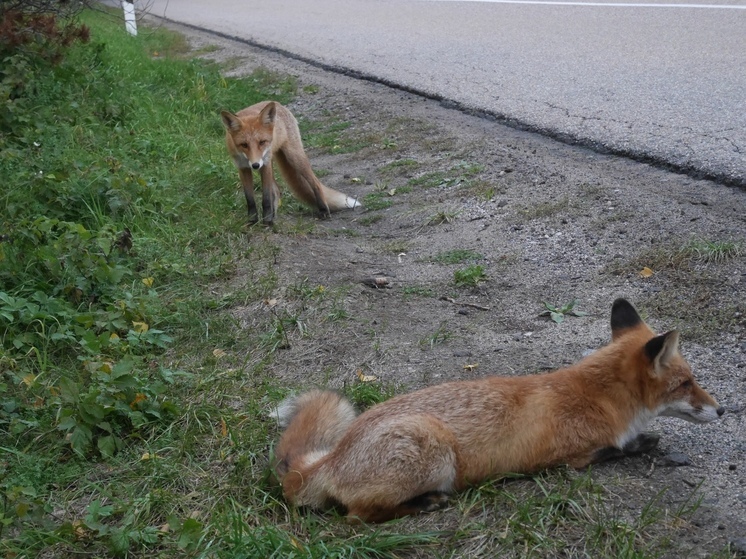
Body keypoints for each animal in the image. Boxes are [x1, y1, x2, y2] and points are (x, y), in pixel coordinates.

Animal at [219, 100, 358, 225]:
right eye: (244, 145)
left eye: (262, 142)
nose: (255, 165)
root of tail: (277, 103)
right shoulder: (243, 168)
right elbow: (250, 200)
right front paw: (252, 221)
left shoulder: (265, 164)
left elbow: (266, 199)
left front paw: (267, 222)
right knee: (277, 191)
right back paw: (273, 216)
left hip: (294, 158)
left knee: (315, 183)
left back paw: (323, 209)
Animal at [274, 300, 720, 524]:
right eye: (687, 383)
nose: (724, 408)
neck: (597, 395)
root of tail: (330, 458)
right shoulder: (571, 455)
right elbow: (617, 448)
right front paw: (643, 442)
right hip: (435, 449)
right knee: (357, 517)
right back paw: (424, 505)